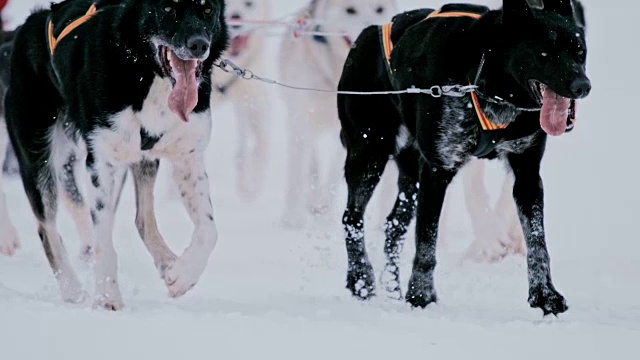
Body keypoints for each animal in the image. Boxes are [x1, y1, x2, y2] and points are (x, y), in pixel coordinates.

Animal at [3, 0, 229, 310]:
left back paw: (168, 261)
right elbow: (103, 239)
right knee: (46, 228)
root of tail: (29, 24)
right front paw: (107, 296)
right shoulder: (101, 163)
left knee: (143, 219)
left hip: (142, 158)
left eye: (207, 11)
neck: (145, 73)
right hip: (38, 157)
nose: (198, 45)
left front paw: (183, 275)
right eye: (167, 9)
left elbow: (209, 229)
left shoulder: (188, 157)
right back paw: (71, 288)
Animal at [338, 0, 592, 316]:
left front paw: (545, 295)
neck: (488, 84)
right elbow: (427, 240)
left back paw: (393, 286)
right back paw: (360, 279)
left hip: (411, 179)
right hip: (369, 155)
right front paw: (421, 296)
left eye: (579, 51)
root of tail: (365, 36)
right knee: (352, 218)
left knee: (393, 226)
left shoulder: (527, 174)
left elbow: (537, 242)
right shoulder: (438, 170)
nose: (583, 86)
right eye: (545, 53)